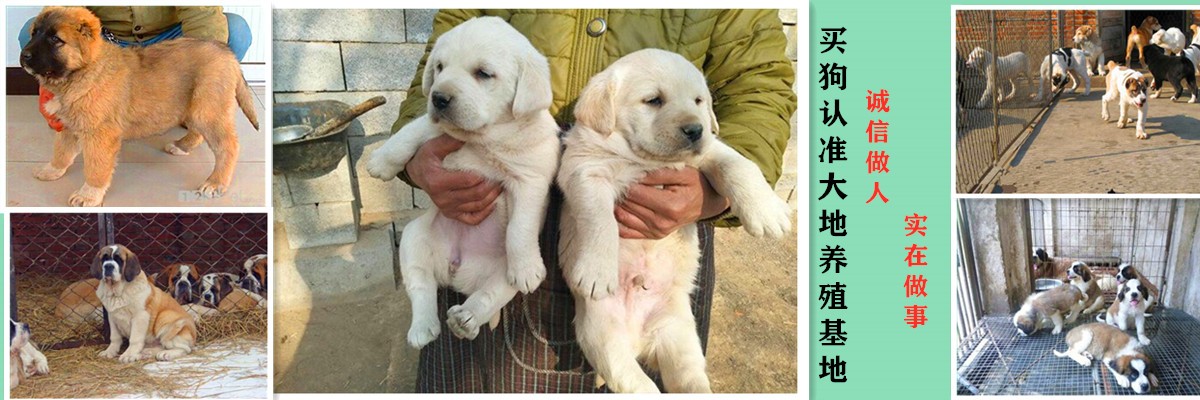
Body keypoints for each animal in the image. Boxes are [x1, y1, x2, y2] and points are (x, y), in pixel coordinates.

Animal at [18, 7, 259, 205]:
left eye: (56, 39)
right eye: (34, 33)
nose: (24, 56)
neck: (83, 71)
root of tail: (227, 54)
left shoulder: (100, 134)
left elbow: (96, 167)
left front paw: (89, 195)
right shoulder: (69, 126)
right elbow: (61, 152)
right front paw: (52, 170)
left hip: (208, 108)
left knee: (228, 146)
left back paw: (216, 182)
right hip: (196, 106)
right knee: (199, 132)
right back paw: (182, 145)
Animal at [362, 16, 559, 345]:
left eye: (483, 73)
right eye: (440, 67)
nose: (438, 97)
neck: (486, 137)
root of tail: (458, 269)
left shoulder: (531, 181)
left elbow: (520, 227)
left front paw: (527, 267)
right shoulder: (437, 130)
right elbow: (412, 132)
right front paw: (382, 161)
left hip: (501, 274)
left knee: (490, 293)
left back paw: (466, 319)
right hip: (414, 238)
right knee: (422, 285)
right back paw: (423, 327)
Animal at [556, 48, 792, 391]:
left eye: (699, 101)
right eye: (654, 100)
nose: (696, 130)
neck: (644, 159)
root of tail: (639, 340)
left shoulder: (710, 151)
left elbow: (737, 165)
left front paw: (767, 211)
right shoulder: (584, 171)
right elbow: (599, 220)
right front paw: (597, 272)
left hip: (678, 334)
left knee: (689, 378)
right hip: (601, 336)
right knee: (637, 383)